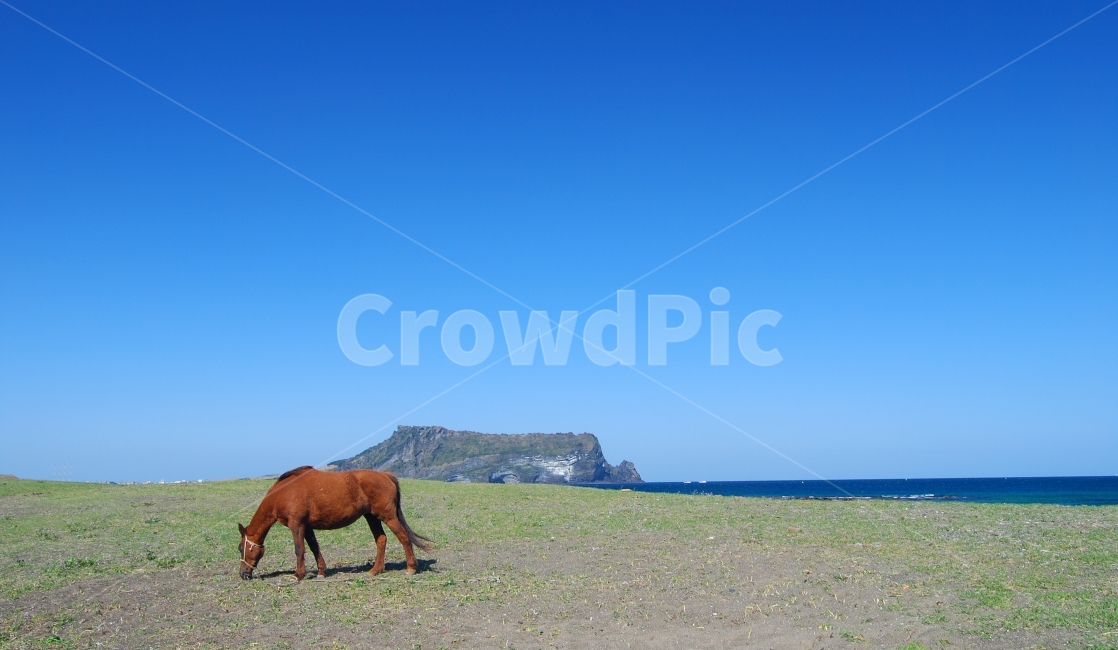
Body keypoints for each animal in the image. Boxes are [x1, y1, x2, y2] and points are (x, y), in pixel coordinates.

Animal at [237, 466, 433, 580]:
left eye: (241, 548)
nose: (243, 574)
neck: (284, 492)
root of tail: (386, 475)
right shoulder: (307, 527)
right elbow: (315, 548)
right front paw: (321, 571)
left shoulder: (297, 525)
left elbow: (299, 549)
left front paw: (299, 575)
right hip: (371, 517)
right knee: (381, 540)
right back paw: (376, 570)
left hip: (388, 516)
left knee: (403, 537)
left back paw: (411, 568)